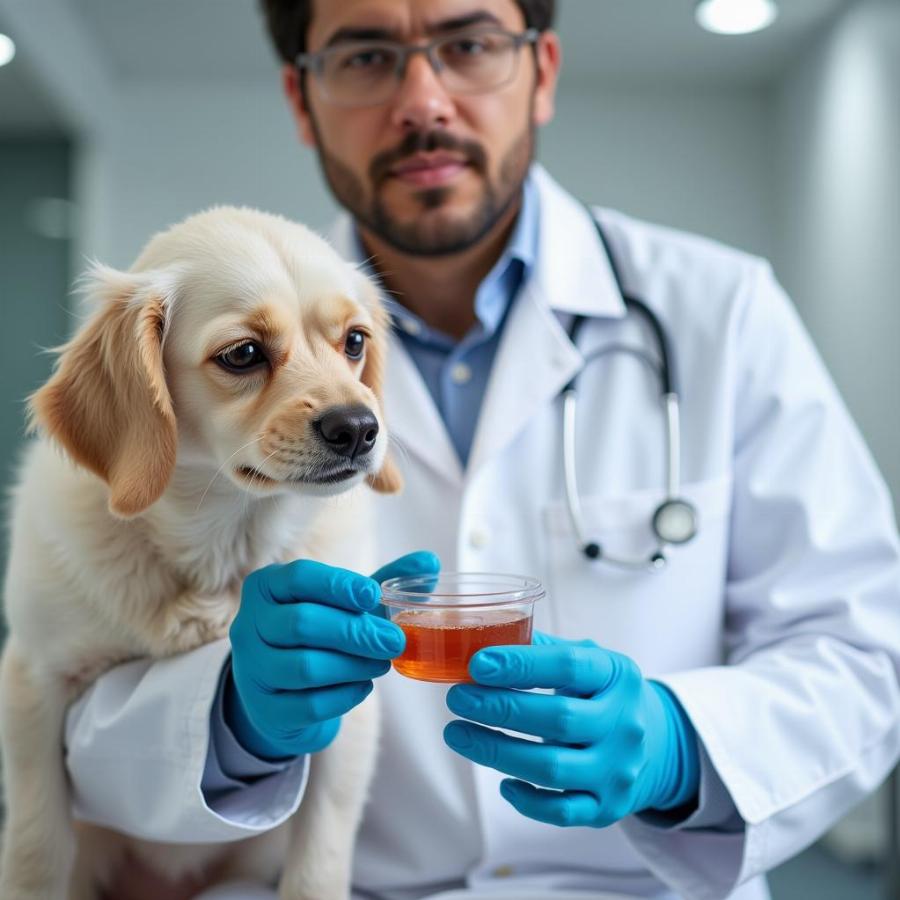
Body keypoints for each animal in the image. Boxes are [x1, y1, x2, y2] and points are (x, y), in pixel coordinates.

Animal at [0, 206, 400, 900]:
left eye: (355, 341)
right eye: (243, 354)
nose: (358, 428)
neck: (218, 546)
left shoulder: (349, 719)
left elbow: (320, 856)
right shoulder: (33, 681)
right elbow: (35, 847)